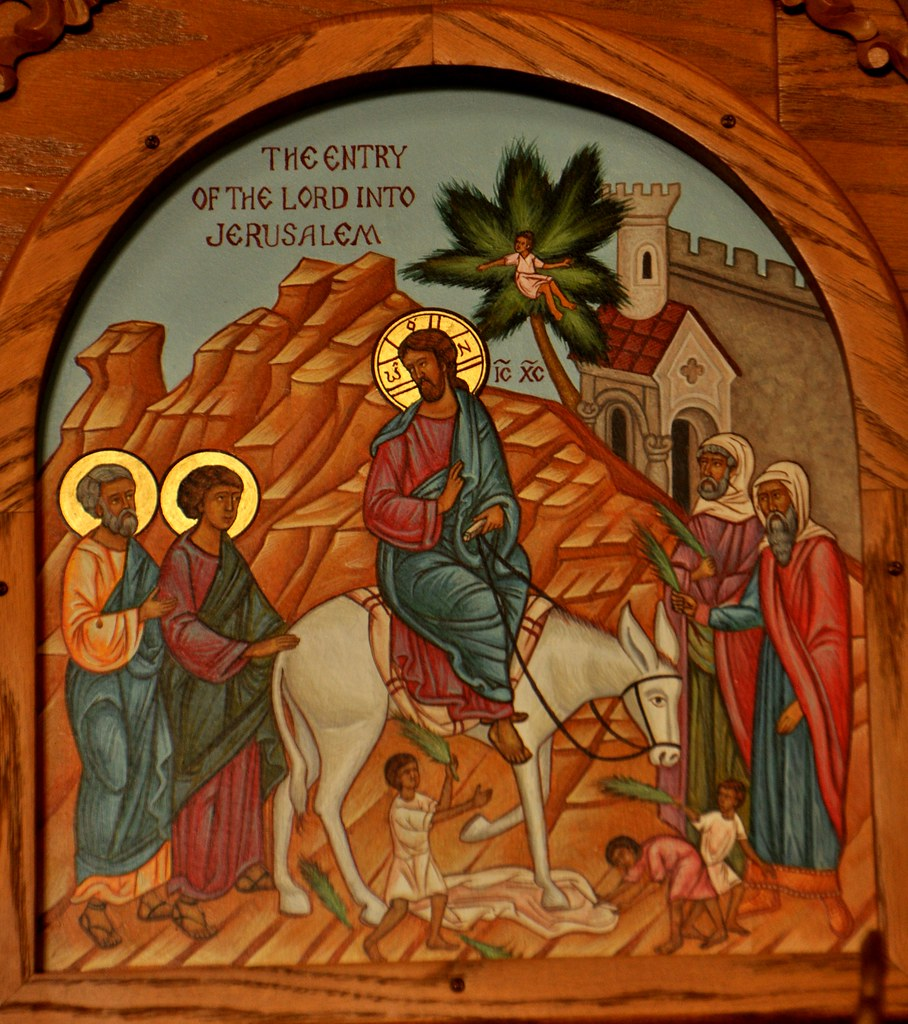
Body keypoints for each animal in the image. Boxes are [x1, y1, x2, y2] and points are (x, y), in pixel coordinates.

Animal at [270, 596, 682, 924]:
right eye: (657, 698)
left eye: (679, 697)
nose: (670, 755)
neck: (555, 664)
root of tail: (292, 644)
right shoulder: (523, 750)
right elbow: (536, 816)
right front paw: (551, 892)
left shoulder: (539, 744)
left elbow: (543, 794)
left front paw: (475, 828)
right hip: (352, 735)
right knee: (326, 804)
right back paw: (370, 904)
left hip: (313, 738)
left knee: (284, 795)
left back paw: (290, 894)